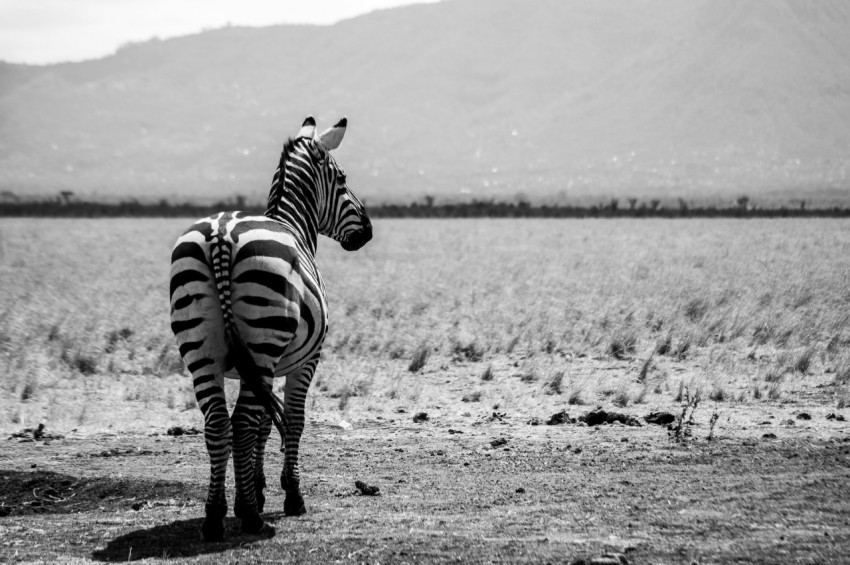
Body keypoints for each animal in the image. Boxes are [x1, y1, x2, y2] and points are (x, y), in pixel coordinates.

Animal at [169, 115, 372, 540]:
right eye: (342, 178)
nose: (368, 231)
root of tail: (222, 234)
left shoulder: (264, 366)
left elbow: (264, 423)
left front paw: (258, 489)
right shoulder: (305, 359)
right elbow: (291, 420)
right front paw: (290, 495)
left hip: (201, 349)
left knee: (219, 424)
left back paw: (214, 516)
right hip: (262, 341)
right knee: (242, 423)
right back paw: (249, 516)